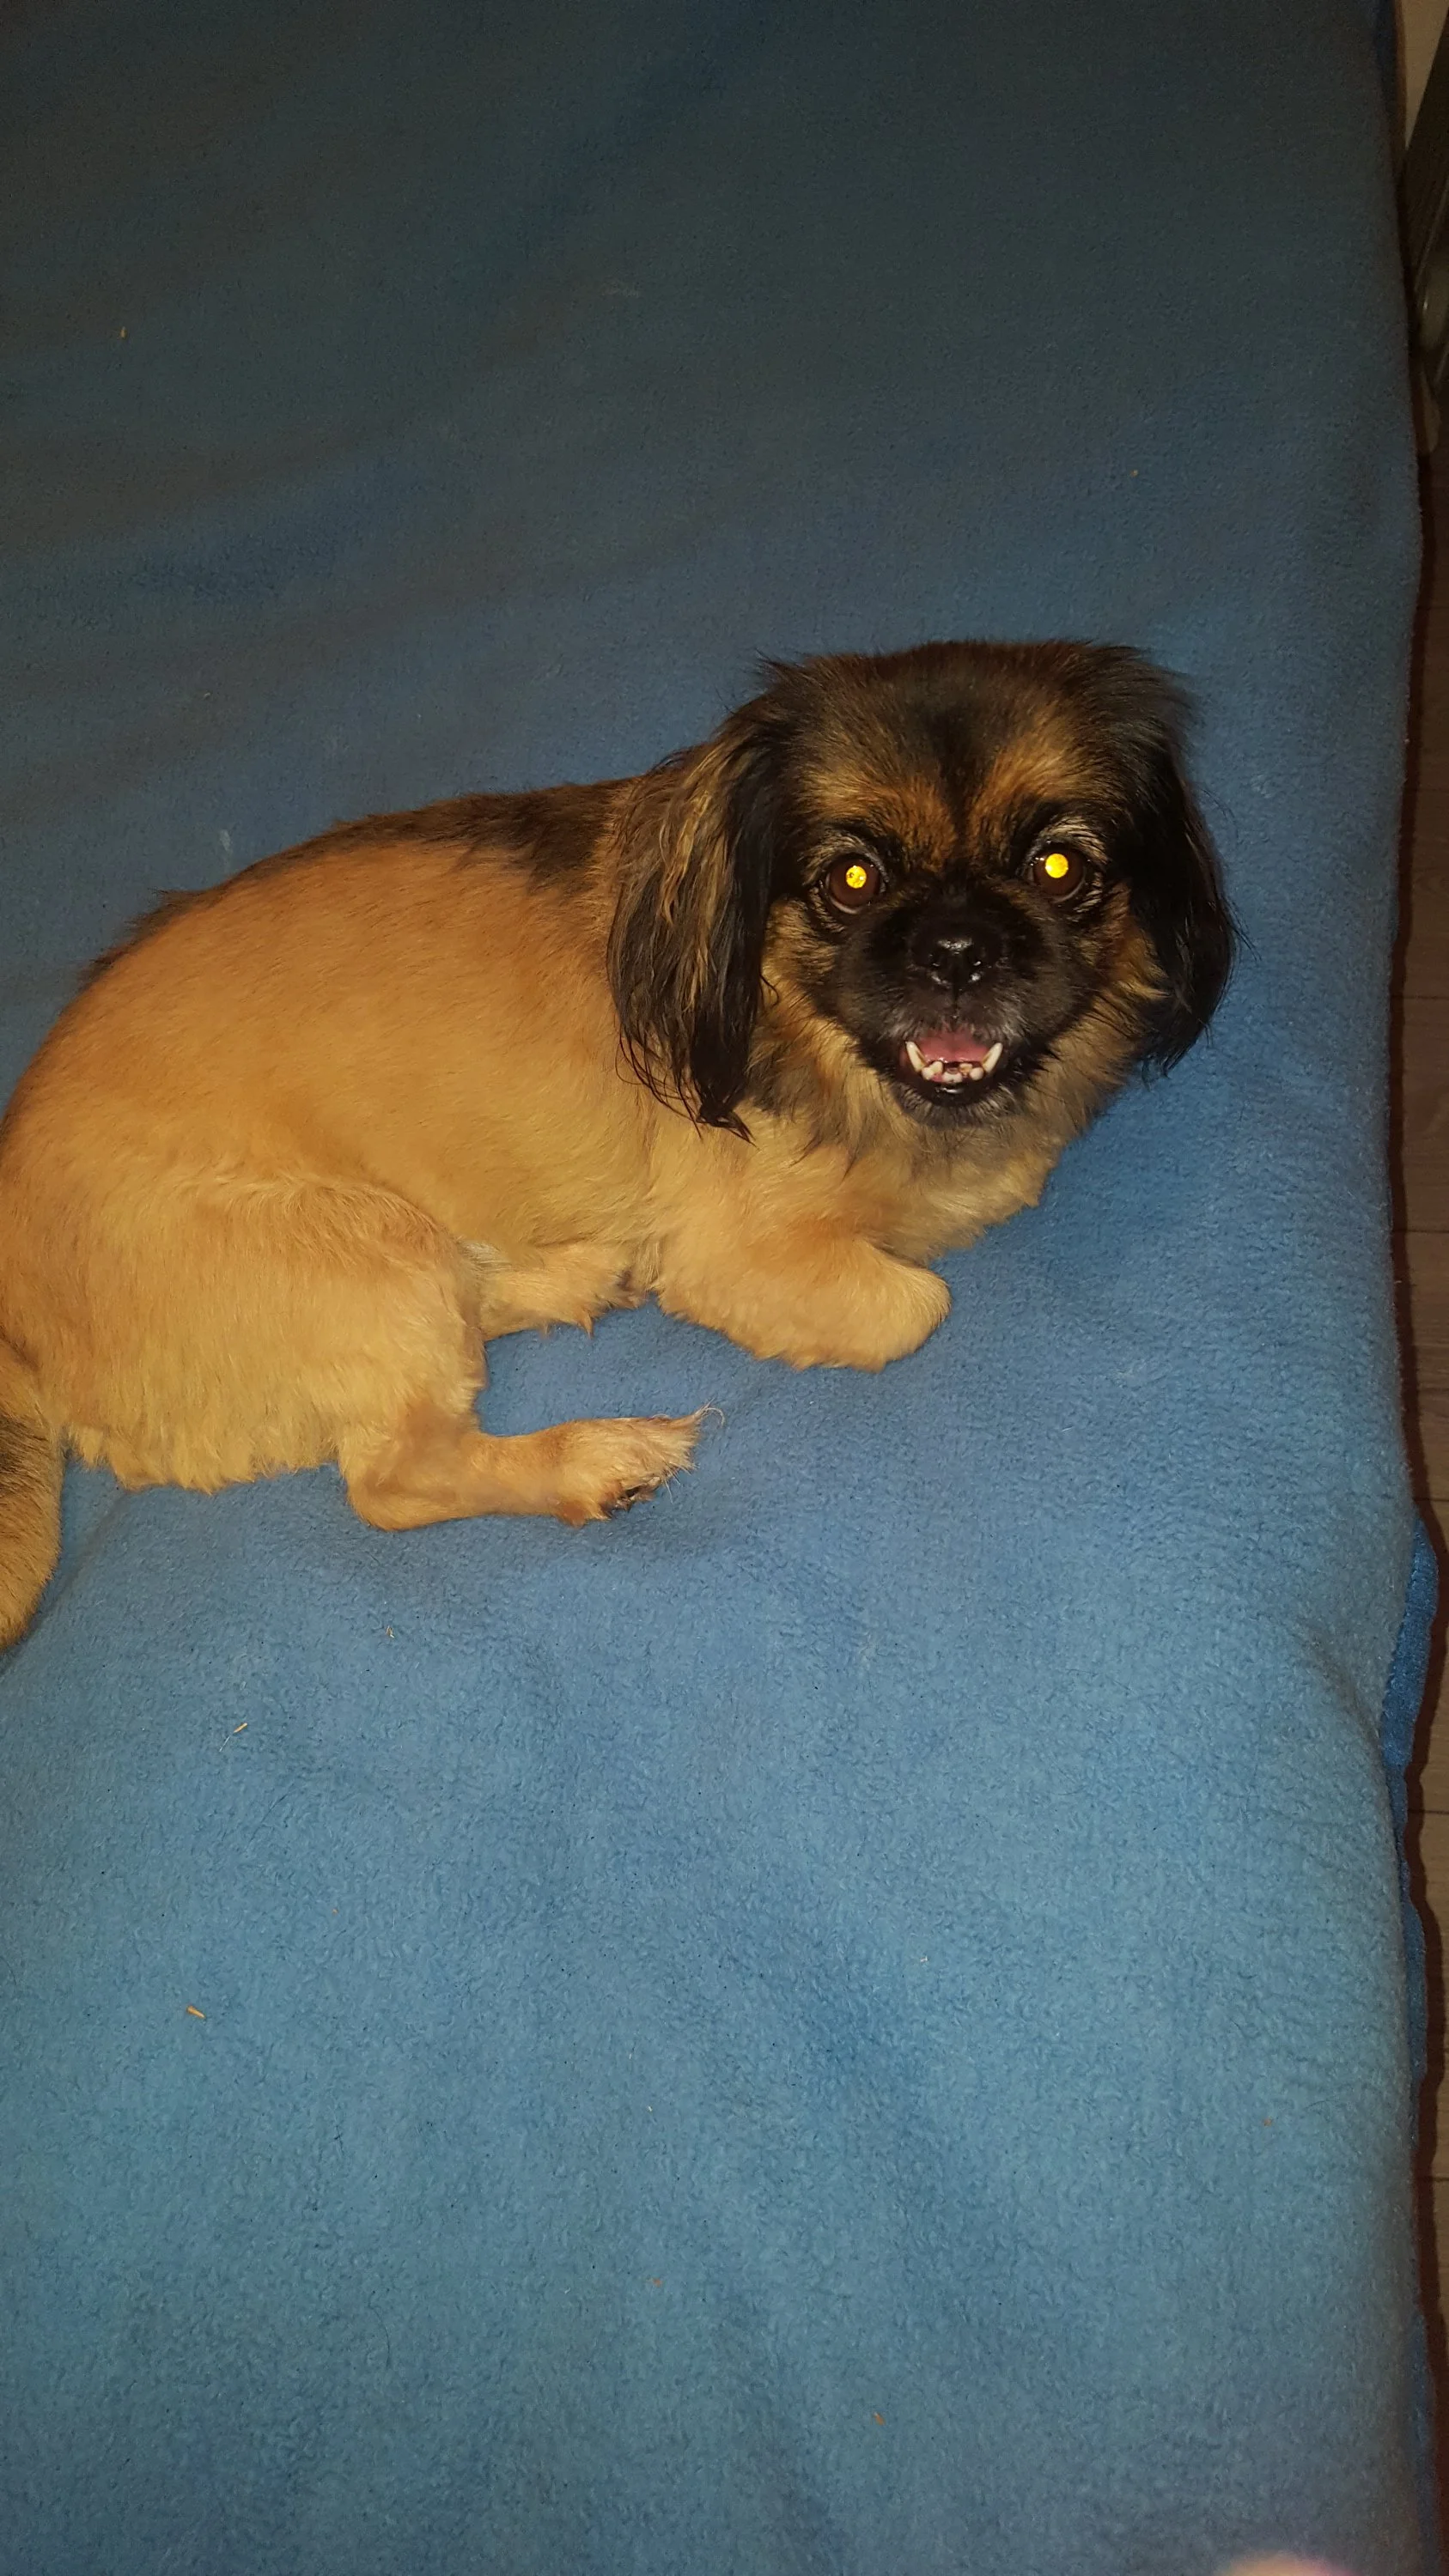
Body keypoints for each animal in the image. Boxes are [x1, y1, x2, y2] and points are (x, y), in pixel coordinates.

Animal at [0, 641, 1232, 1647]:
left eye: (1059, 869)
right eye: (850, 879)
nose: (957, 948)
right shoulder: (745, 1257)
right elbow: (911, 1306)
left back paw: (568, 1276)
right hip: (362, 1247)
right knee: (396, 1478)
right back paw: (596, 1457)